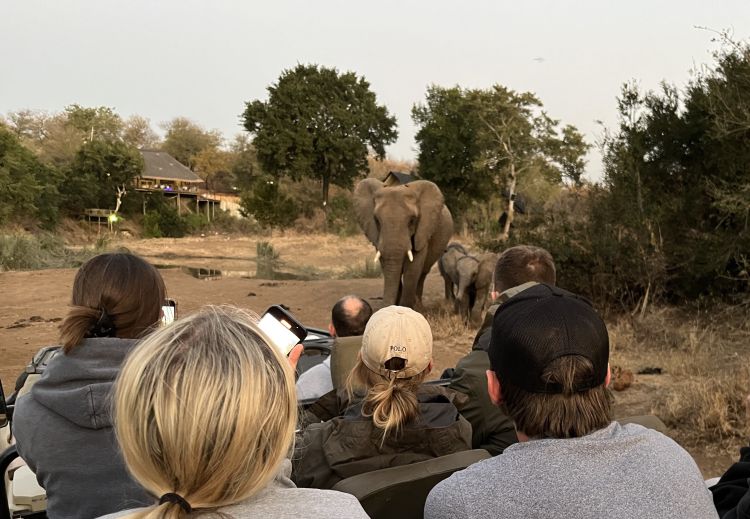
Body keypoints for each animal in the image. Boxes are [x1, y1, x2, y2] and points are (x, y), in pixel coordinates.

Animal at [354, 178, 454, 309]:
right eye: (377, 220)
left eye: (412, 220)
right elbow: (387, 266)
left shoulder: (423, 230)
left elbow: (413, 268)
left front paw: (407, 308)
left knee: (422, 273)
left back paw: (419, 306)